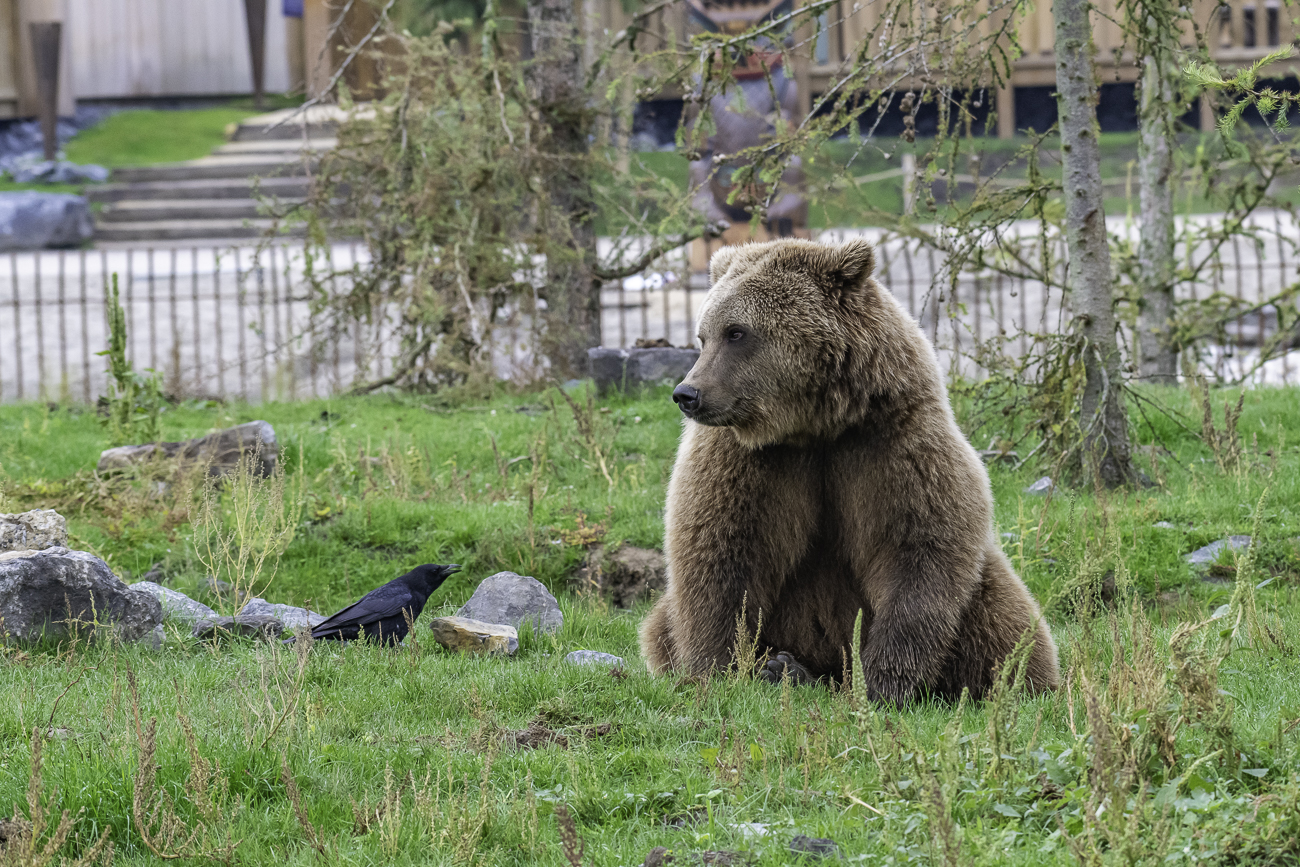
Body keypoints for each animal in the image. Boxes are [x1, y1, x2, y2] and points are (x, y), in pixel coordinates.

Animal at [638, 238, 1059, 703]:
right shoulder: (745, 459)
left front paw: (883, 682)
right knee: (661, 625)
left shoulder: (892, 443)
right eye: (704, 335)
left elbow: (918, 550)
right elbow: (720, 550)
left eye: (736, 332)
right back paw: (787, 667)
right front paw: (723, 668)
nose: (687, 393)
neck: (814, 425)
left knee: (1007, 625)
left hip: (984, 591)